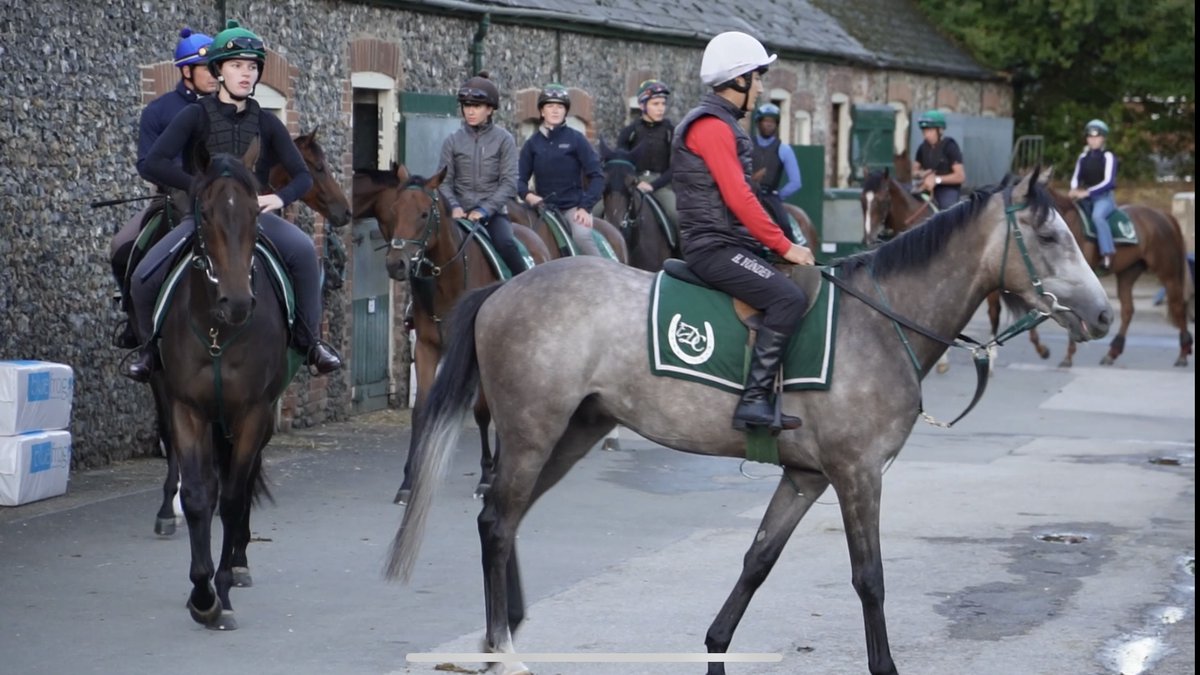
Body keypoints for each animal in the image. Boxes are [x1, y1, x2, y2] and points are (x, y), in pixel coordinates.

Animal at [151, 139, 291, 631]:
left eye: (254, 211)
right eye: (207, 213)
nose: (237, 302)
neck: (217, 328)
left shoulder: (252, 412)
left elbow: (231, 498)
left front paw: (224, 588)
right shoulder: (185, 408)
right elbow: (197, 497)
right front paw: (202, 594)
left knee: (242, 485)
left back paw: (240, 563)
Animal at [356, 165, 552, 504]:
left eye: (424, 214)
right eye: (394, 211)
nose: (396, 264)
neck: (447, 279)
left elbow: (482, 411)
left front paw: (487, 477)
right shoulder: (426, 347)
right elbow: (421, 411)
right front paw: (408, 481)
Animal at [1038, 183, 1193, 367]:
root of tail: (1164, 216)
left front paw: (1066, 355)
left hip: (1168, 274)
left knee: (1178, 307)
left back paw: (1183, 353)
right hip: (1128, 273)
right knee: (1128, 310)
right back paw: (1112, 352)